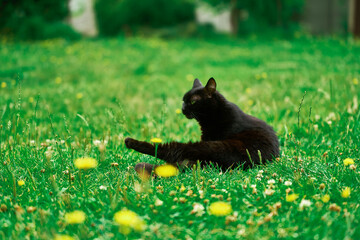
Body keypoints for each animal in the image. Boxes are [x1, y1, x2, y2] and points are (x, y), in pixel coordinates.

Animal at [125, 79, 280, 174]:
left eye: (193, 102)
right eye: (183, 100)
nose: (182, 108)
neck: (213, 116)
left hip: (209, 146)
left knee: (168, 150)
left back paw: (130, 142)